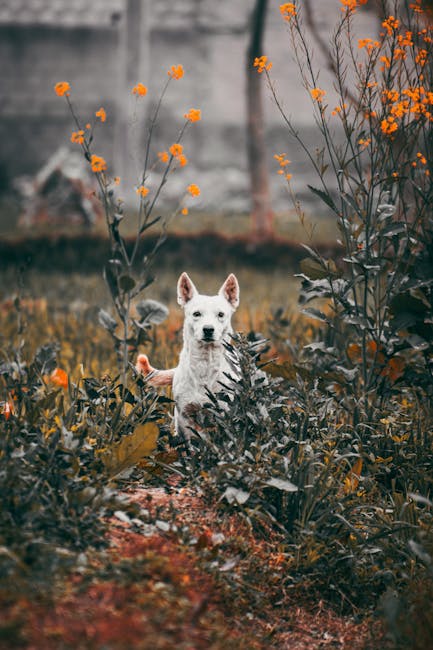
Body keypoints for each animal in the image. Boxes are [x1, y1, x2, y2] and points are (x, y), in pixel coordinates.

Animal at [136, 270, 240, 438]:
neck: (205, 363)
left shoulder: (227, 415)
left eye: (221, 314)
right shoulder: (185, 416)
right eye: (196, 314)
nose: (208, 329)